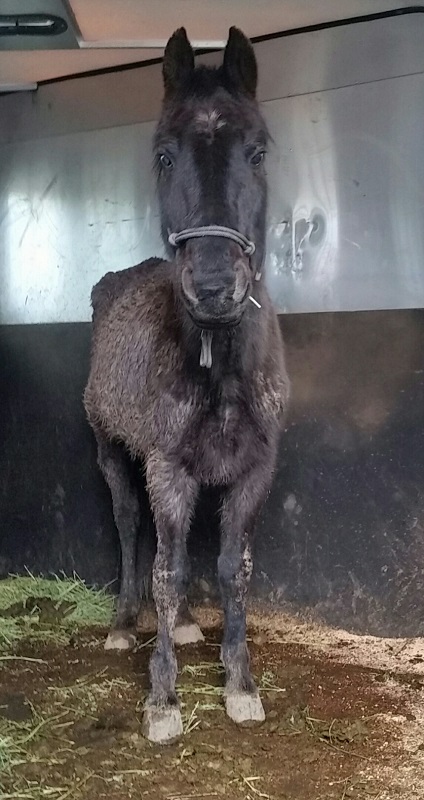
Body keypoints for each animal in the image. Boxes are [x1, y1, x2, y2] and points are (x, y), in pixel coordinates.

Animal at [84, 26, 289, 743]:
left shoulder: (253, 470)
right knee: (130, 527)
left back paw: (184, 626)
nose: (214, 287)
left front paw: (241, 685)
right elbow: (167, 569)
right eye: (164, 155)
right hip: (114, 452)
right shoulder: (166, 465)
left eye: (258, 150)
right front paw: (163, 700)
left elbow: (233, 570)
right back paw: (125, 625)